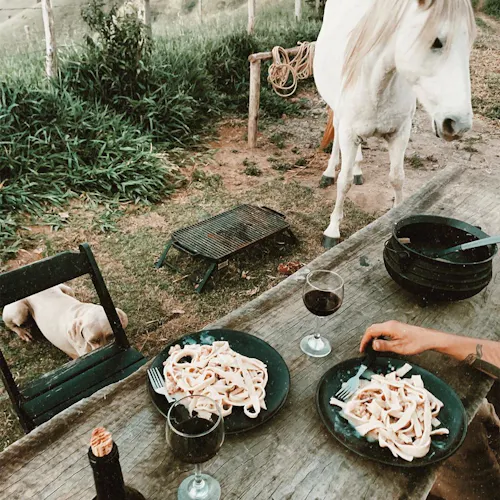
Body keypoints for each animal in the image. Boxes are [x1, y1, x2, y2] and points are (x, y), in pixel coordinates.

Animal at [313, 0, 476, 247]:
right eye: (437, 42)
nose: (459, 124)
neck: (379, 83)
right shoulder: (349, 133)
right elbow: (344, 182)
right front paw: (332, 230)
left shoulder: (400, 133)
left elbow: (397, 178)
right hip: (339, 115)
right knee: (337, 142)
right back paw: (329, 172)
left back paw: (358, 169)